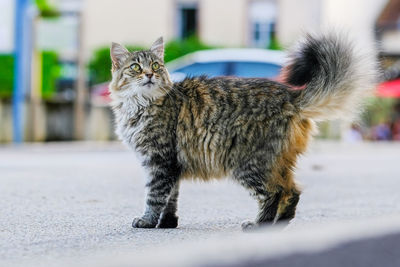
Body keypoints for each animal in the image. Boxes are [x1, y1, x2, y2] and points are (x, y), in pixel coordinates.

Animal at [108, 33, 376, 230]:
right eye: (135, 67)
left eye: (155, 65)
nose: (149, 75)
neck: (139, 104)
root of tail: (290, 96)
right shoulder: (171, 165)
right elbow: (171, 199)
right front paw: (167, 224)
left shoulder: (159, 161)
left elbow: (155, 196)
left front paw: (147, 221)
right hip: (277, 162)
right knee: (292, 191)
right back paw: (280, 224)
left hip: (247, 163)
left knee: (274, 192)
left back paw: (259, 225)